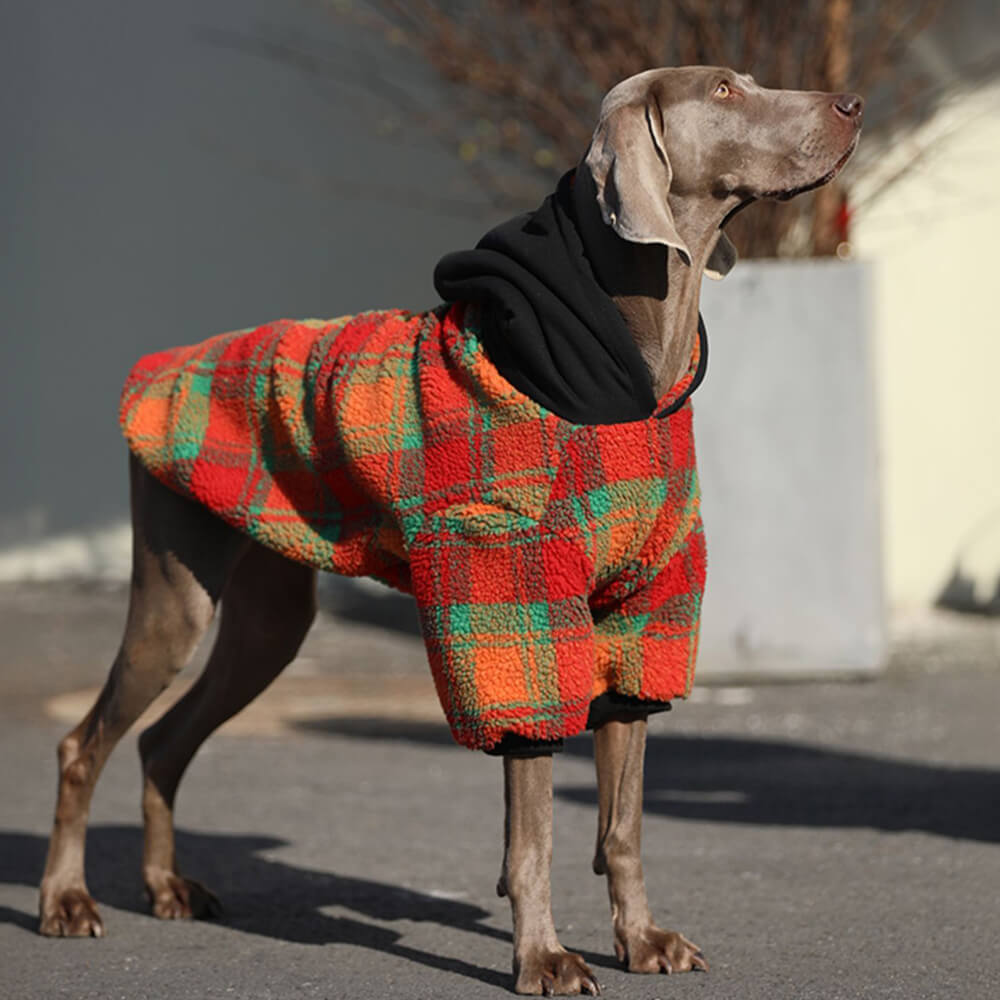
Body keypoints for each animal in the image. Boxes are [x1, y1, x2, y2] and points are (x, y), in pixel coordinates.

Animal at [39, 68, 864, 992]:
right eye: (724, 88)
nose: (853, 105)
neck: (627, 366)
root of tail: (163, 364)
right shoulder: (513, 602)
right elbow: (534, 833)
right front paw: (543, 958)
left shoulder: (639, 610)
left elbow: (622, 824)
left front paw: (642, 940)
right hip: (173, 597)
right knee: (82, 744)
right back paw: (66, 903)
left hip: (269, 621)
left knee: (160, 743)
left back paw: (165, 888)